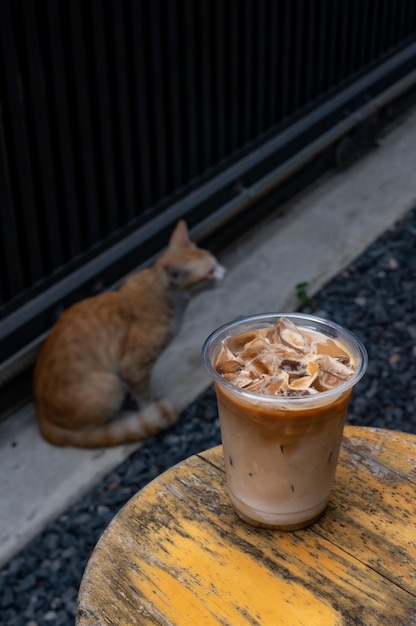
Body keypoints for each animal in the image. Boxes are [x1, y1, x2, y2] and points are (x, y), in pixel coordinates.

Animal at [33, 222, 224, 446]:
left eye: (215, 263)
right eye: (210, 271)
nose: (223, 271)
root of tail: (40, 414)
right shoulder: (132, 367)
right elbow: (144, 396)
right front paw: (149, 410)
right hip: (110, 386)